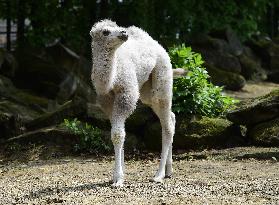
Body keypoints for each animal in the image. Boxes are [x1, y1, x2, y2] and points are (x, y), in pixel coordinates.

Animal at [91, 20, 176, 187]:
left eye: (117, 27)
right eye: (105, 32)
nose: (123, 33)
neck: (111, 80)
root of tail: (158, 45)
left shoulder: (126, 95)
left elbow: (118, 134)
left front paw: (118, 179)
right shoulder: (107, 102)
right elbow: (119, 133)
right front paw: (118, 175)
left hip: (162, 79)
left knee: (167, 126)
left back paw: (159, 175)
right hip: (147, 92)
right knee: (171, 116)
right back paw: (169, 171)